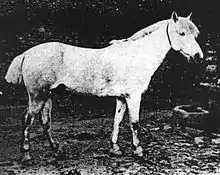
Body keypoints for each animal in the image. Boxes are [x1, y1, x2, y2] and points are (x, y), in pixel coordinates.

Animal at [5, 12, 204, 164]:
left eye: (195, 35)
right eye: (181, 33)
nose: (198, 56)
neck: (137, 55)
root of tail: (26, 54)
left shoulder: (122, 97)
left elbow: (117, 121)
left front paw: (115, 148)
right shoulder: (134, 97)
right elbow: (134, 123)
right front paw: (138, 150)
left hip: (48, 96)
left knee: (45, 122)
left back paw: (57, 150)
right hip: (38, 97)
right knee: (27, 121)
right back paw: (27, 156)